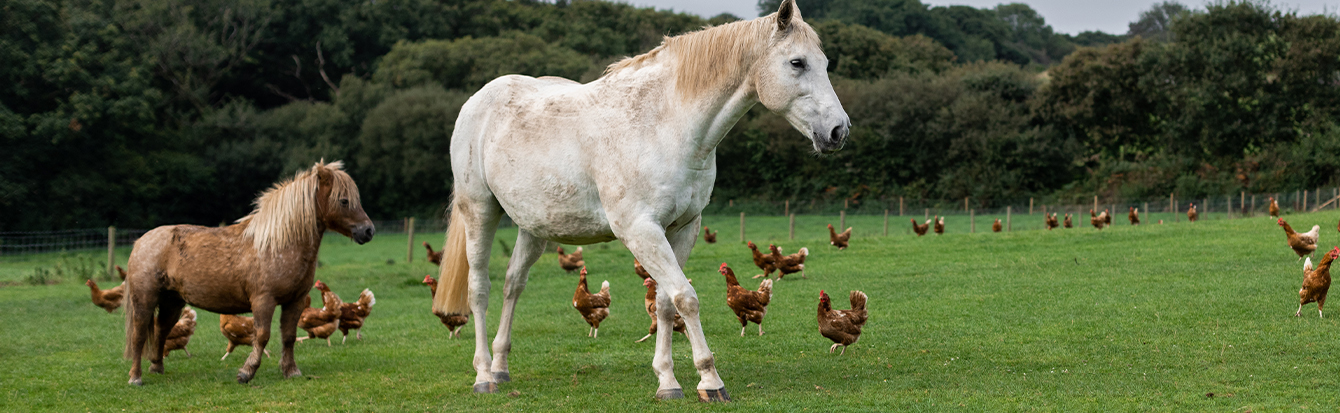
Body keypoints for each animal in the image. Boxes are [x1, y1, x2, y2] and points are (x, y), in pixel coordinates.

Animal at [123, 160, 375, 383]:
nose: (368, 231)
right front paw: (246, 372)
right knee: (139, 335)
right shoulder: (263, 300)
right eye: (344, 201)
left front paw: (290, 371)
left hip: (172, 302)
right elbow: (262, 336)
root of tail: (141, 241)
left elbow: (289, 336)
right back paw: (136, 377)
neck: (278, 244)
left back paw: (157, 367)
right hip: (145, 300)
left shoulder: (295, 301)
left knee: (161, 330)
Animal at [428, 0, 846, 399]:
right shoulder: (640, 230)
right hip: (479, 211)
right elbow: (686, 297)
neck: (665, 124)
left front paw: (668, 381)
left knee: (513, 284)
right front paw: (710, 381)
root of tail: (479, 99)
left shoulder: (682, 229)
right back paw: (484, 376)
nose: (839, 131)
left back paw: (501, 366)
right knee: (479, 289)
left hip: (534, 227)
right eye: (797, 63)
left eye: (824, 63)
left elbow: (665, 302)